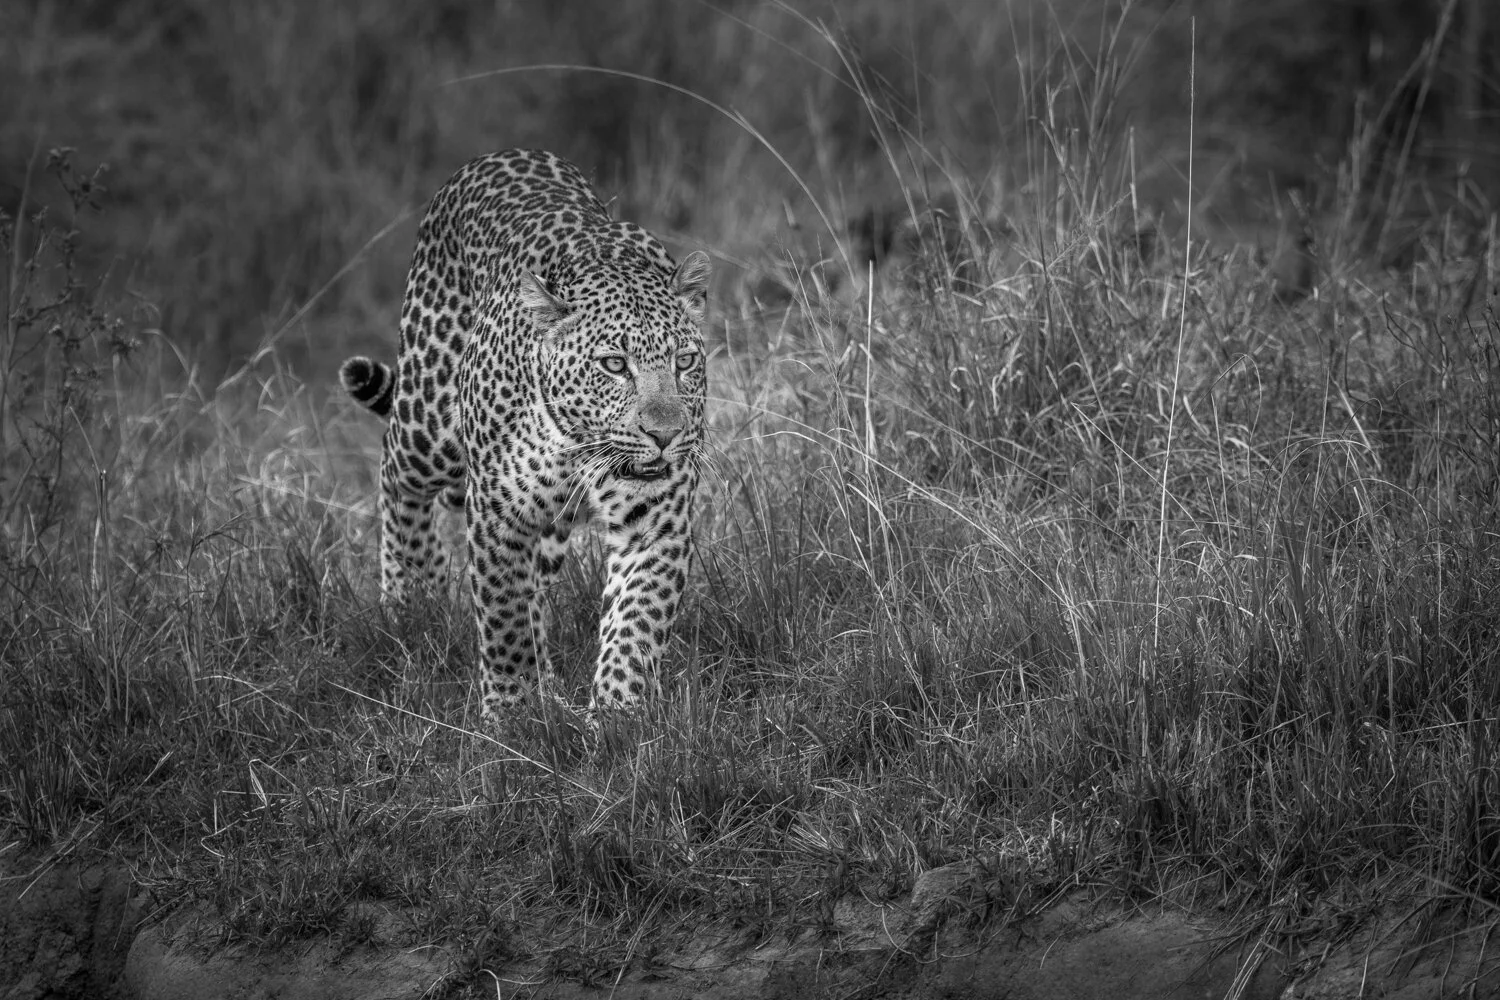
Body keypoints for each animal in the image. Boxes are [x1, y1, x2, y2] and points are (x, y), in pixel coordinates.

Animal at [340, 148, 710, 718]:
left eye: (685, 362)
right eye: (613, 364)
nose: (666, 435)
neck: (580, 444)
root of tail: (498, 155)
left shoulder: (656, 521)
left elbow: (636, 624)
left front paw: (616, 718)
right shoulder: (497, 513)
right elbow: (503, 618)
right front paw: (510, 715)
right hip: (428, 421)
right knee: (394, 469)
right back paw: (411, 598)